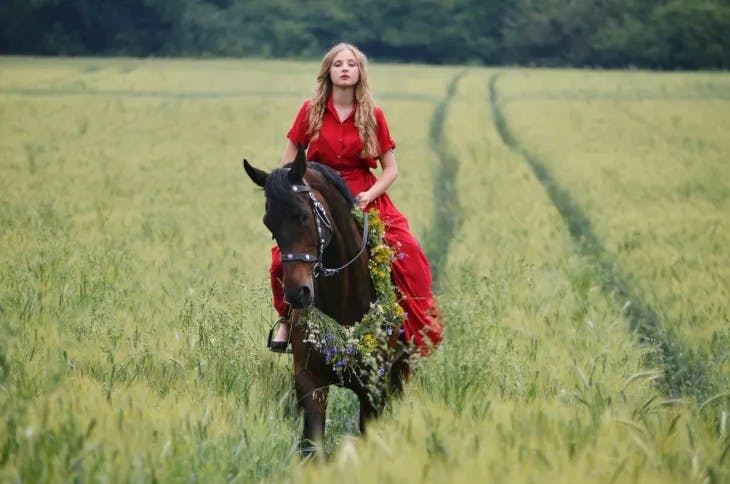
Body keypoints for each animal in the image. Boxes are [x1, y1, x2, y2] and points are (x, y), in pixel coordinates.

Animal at [240, 146, 406, 456]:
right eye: (269, 223)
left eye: (304, 216)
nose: (297, 294)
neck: (344, 297)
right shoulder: (310, 382)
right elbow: (312, 443)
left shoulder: (373, 386)